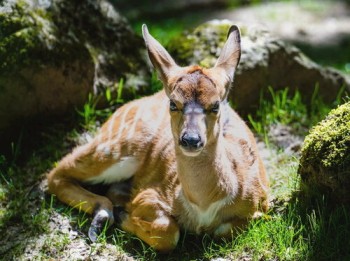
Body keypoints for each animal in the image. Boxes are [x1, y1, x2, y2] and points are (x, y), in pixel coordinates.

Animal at [47, 24, 268, 252]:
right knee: (57, 172)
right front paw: (125, 214)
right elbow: (167, 231)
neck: (204, 206)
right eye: (173, 103)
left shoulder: (259, 206)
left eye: (215, 105)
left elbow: (224, 231)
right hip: (119, 148)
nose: (191, 139)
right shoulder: (150, 194)